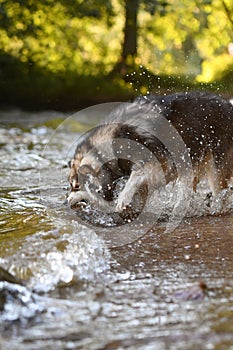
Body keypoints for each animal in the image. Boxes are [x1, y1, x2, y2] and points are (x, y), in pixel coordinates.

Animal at [67, 91, 233, 212]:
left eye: (78, 185)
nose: (67, 198)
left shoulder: (158, 163)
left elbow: (134, 177)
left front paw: (123, 197)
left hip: (215, 168)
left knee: (220, 192)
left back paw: (216, 208)